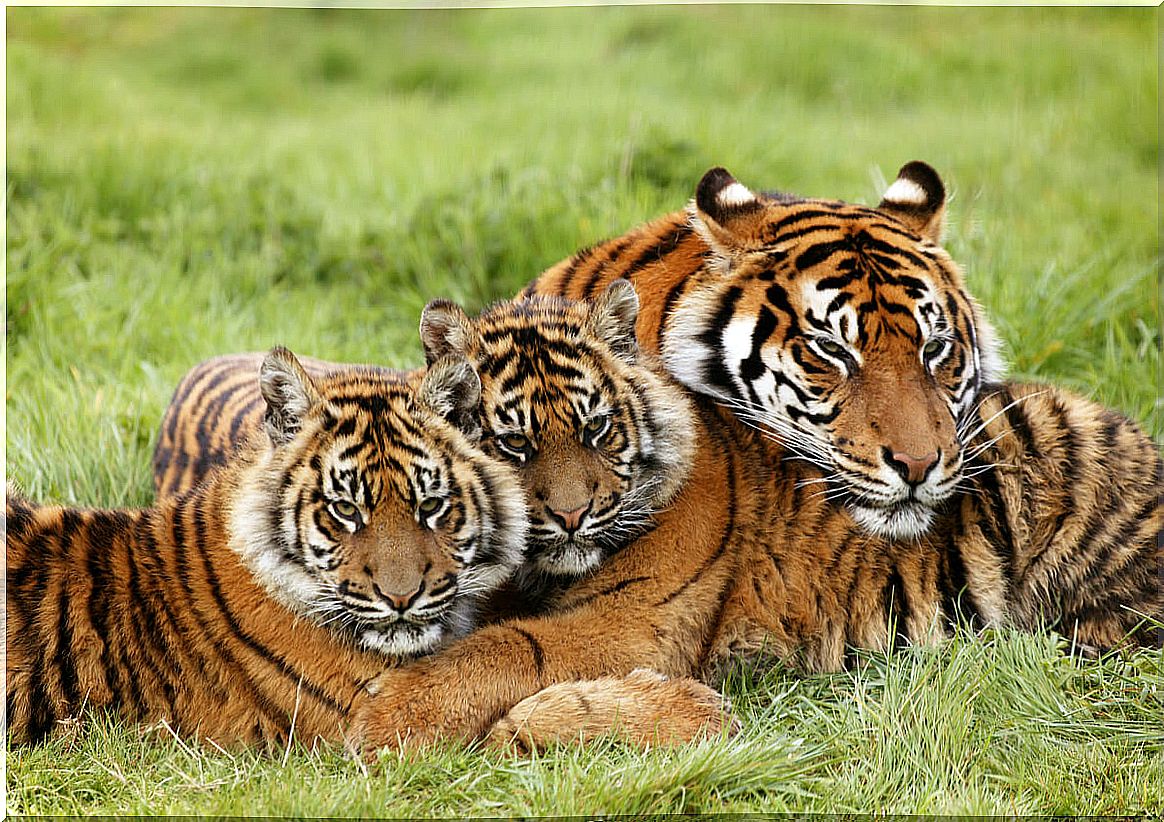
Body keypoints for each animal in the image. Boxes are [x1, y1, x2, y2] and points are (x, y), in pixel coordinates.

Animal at [9, 342, 730, 745]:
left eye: (430, 505)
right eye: (345, 510)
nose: (402, 599)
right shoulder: (366, 731)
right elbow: (511, 703)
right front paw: (698, 711)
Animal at [339, 160, 1159, 749]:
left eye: (935, 350)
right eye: (832, 350)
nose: (922, 467)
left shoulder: (633, 615)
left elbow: (506, 651)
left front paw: (389, 711)